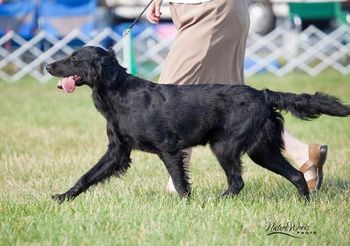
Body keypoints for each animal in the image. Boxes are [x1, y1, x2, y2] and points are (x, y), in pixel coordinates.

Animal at [46, 45, 350, 202]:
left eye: (74, 58)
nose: (48, 66)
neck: (119, 93)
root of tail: (263, 94)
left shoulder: (168, 148)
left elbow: (180, 181)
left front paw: (186, 204)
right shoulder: (117, 151)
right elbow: (87, 176)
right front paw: (63, 196)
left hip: (226, 146)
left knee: (237, 181)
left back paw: (218, 201)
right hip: (261, 150)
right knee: (296, 175)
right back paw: (305, 203)